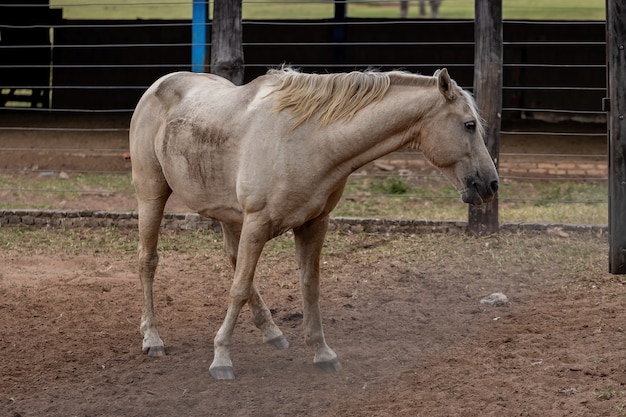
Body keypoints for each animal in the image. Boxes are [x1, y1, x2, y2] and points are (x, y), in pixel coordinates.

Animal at [130, 66, 498, 380]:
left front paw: (322, 353)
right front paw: (221, 359)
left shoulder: (313, 225)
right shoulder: (257, 223)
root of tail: (159, 84)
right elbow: (238, 288)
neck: (308, 140)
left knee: (234, 261)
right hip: (151, 195)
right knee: (149, 261)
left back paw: (272, 333)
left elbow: (309, 287)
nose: (491, 184)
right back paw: (153, 339)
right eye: (469, 124)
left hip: (228, 215)